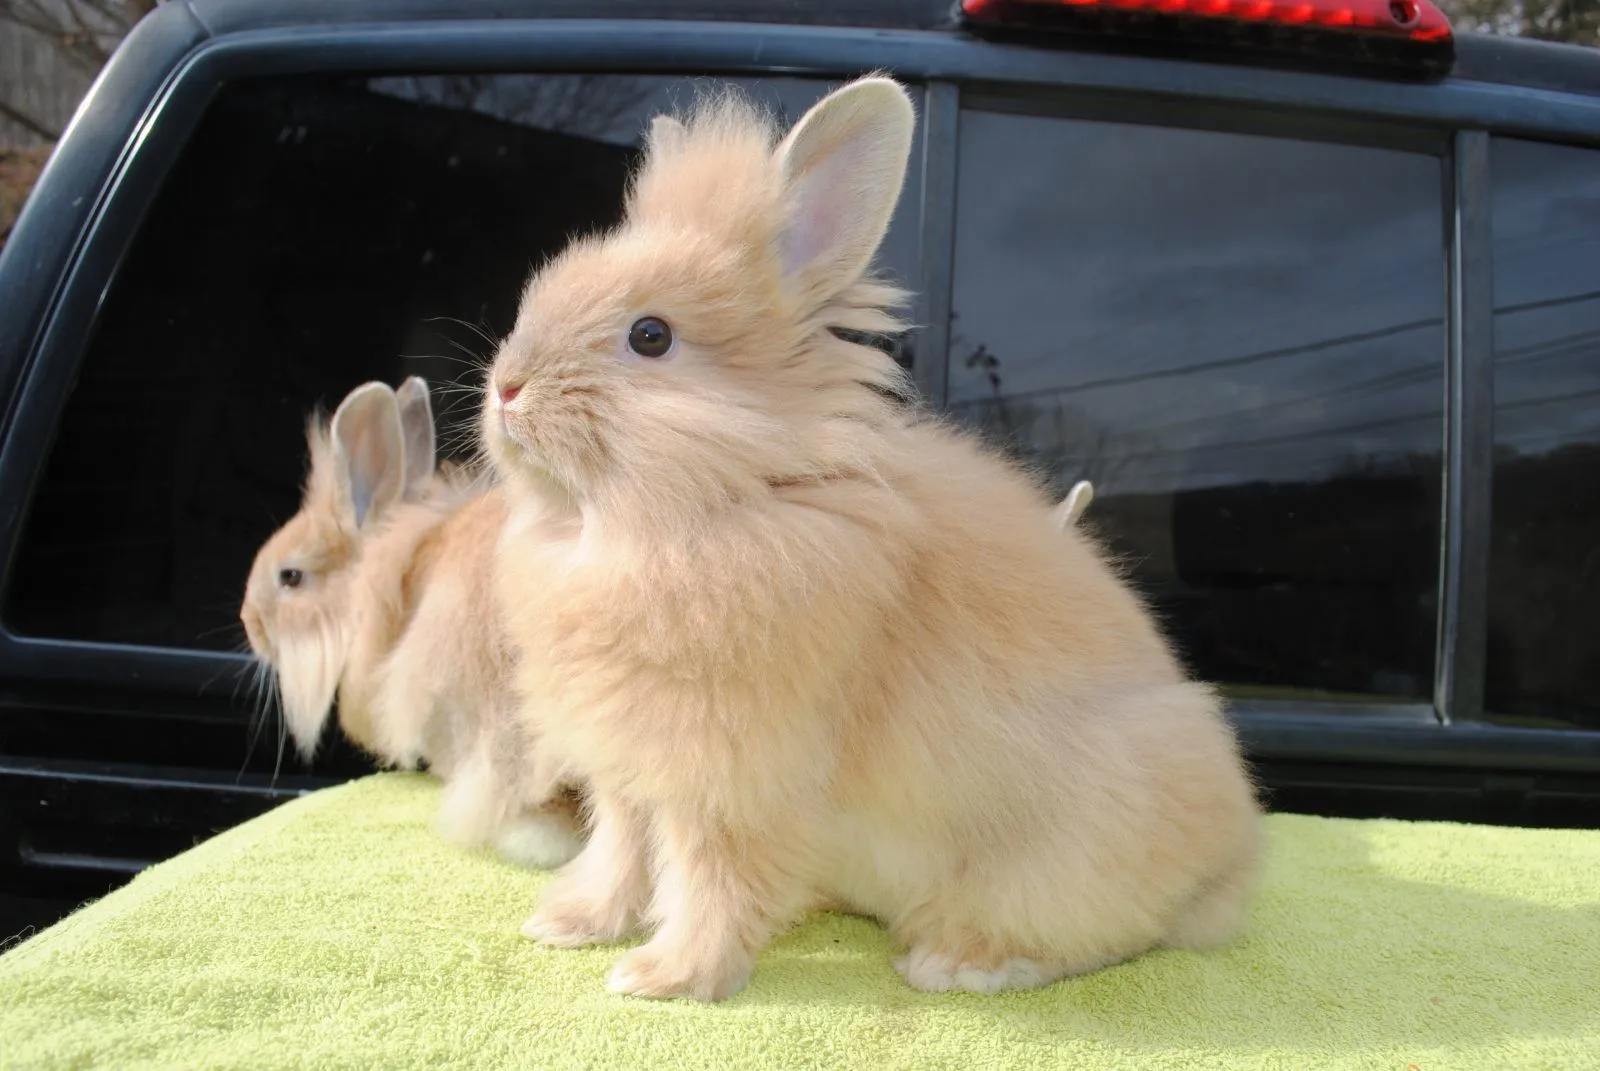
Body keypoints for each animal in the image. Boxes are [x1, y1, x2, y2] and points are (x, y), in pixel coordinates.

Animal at [480, 77, 1254, 1005]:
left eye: (651, 336)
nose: (506, 387)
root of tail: (1230, 859)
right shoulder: (629, 767)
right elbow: (622, 850)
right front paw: (573, 924)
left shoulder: (732, 779)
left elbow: (710, 875)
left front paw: (666, 975)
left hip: (1076, 845)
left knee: (1095, 934)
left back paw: (957, 961)